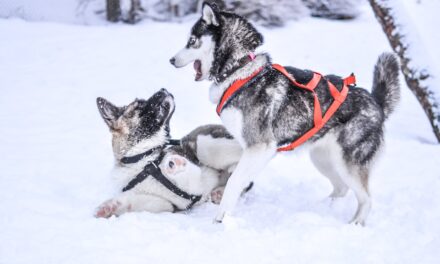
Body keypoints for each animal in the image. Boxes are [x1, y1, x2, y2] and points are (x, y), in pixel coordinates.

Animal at [94, 88, 242, 217]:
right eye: (139, 106)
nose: (163, 89)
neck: (143, 159)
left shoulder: (195, 176)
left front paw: (175, 163)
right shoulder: (164, 203)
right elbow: (134, 201)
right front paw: (109, 207)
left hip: (205, 144)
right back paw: (220, 192)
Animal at [169, 2, 402, 225]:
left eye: (192, 41)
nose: (171, 60)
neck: (238, 70)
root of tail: (377, 103)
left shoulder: (260, 147)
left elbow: (234, 181)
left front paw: (220, 219)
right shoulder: (255, 151)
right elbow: (238, 180)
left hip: (348, 164)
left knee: (366, 199)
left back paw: (355, 224)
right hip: (323, 159)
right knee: (341, 188)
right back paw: (321, 208)